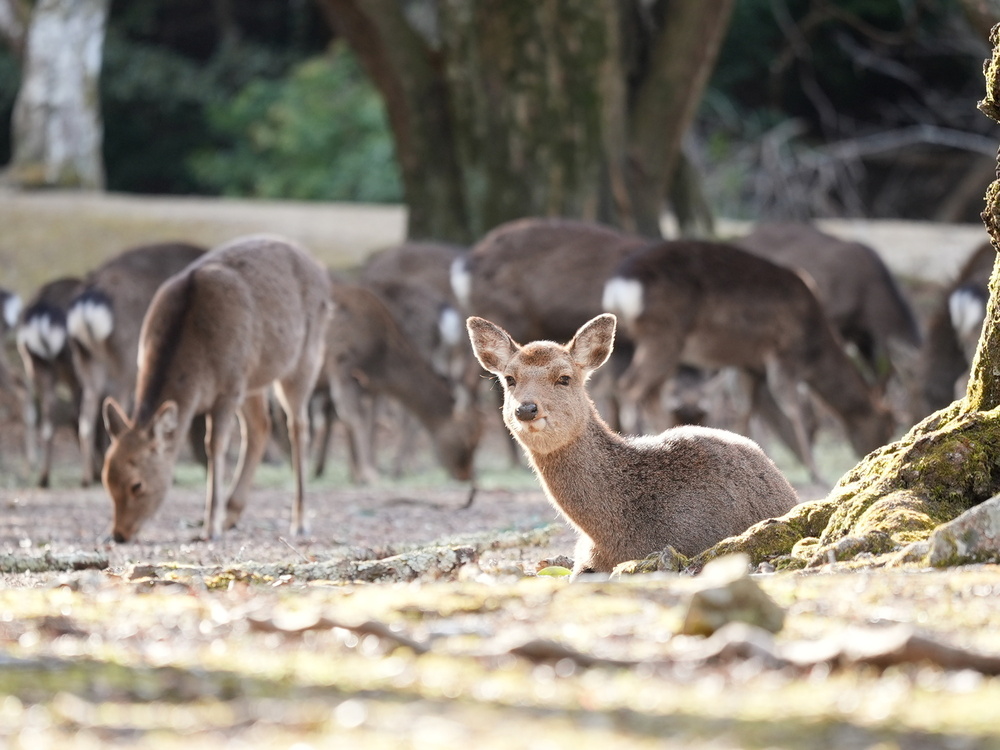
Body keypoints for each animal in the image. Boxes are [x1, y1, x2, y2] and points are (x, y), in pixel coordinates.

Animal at [101, 234, 332, 542]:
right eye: (106, 479)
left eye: (137, 485)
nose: (119, 534)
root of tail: (321, 268)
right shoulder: (238, 383)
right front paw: (217, 520)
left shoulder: (229, 388)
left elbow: (214, 445)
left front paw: (210, 527)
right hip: (253, 377)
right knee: (261, 426)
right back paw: (232, 514)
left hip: (306, 356)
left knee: (299, 426)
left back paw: (300, 521)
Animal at [320, 278, 481, 493]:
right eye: (469, 436)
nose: (466, 475)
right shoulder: (342, 364)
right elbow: (355, 418)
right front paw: (368, 474)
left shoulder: (366, 385)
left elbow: (364, 420)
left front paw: (357, 474)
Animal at [602, 239, 896, 483]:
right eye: (887, 424)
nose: (873, 452)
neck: (813, 345)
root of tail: (617, 288)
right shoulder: (783, 355)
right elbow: (793, 410)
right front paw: (816, 472)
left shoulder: (750, 364)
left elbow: (748, 409)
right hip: (663, 335)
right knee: (629, 387)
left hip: (647, 342)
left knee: (647, 393)